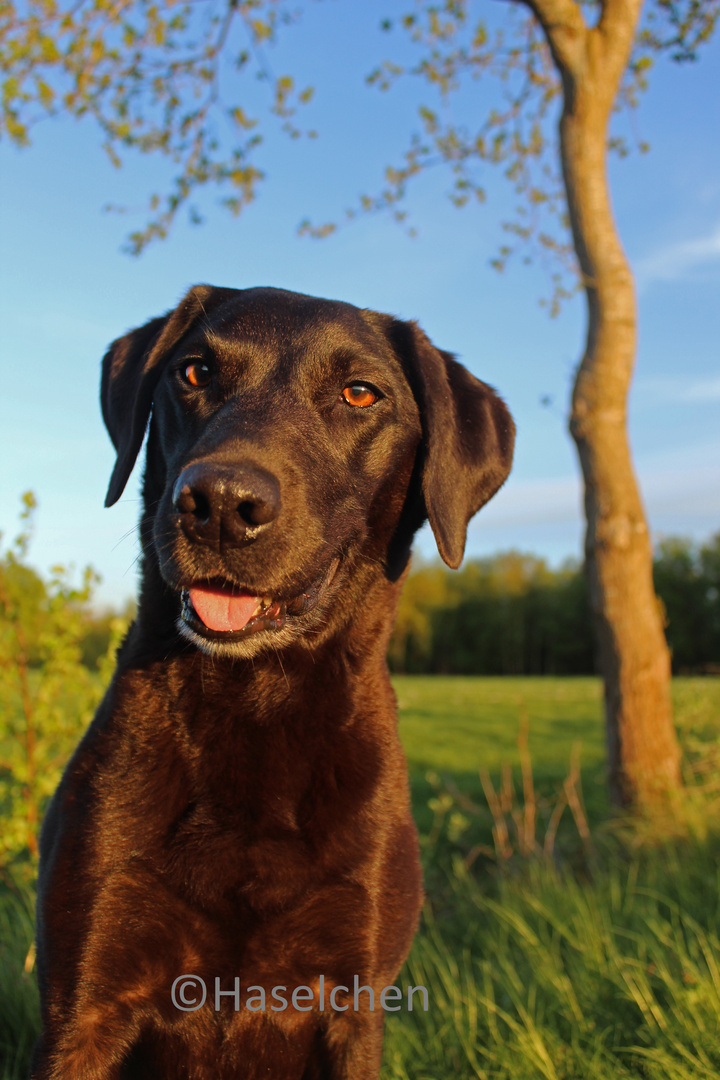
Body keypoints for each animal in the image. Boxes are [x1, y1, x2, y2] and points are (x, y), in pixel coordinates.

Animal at [31, 287, 515, 1080]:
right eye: (194, 372)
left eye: (359, 393)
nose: (221, 503)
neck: (256, 704)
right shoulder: (84, 1001)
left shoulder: (354, 1001)